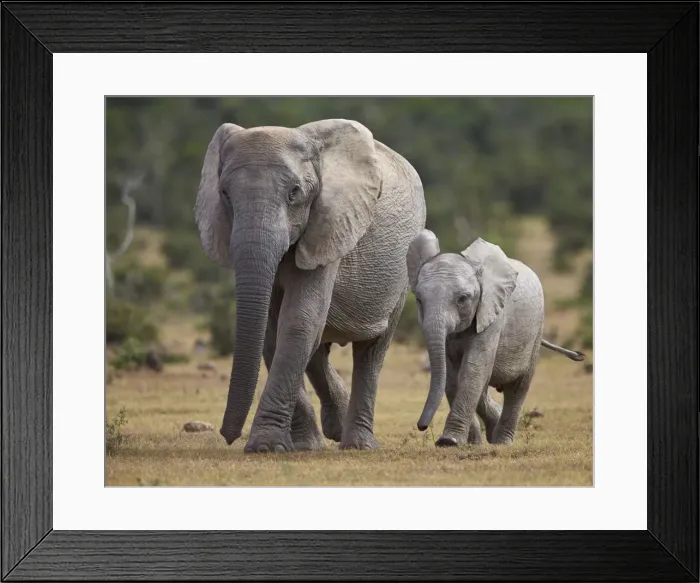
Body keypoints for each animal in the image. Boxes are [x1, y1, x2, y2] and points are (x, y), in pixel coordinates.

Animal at [194, 119, 426, 453]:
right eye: (225, 193)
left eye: (295, 193)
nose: (228, 436)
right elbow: (273, 330)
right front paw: (299, 447)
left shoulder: (331, 224)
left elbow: (298, 320)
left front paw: (265, 447)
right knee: (318, 349)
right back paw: (334, 430)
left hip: (403, 266)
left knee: (371, 351)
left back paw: (358, 445)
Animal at [406, 229, 585, 447]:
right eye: (419, 300)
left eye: (462, 299)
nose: (421, 426)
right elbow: (453, 375)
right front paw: (469, 444)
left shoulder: (492, 314)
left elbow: (472, 369)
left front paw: (449, 442)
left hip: (537, 329)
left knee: (518, 387)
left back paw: (502, 442)